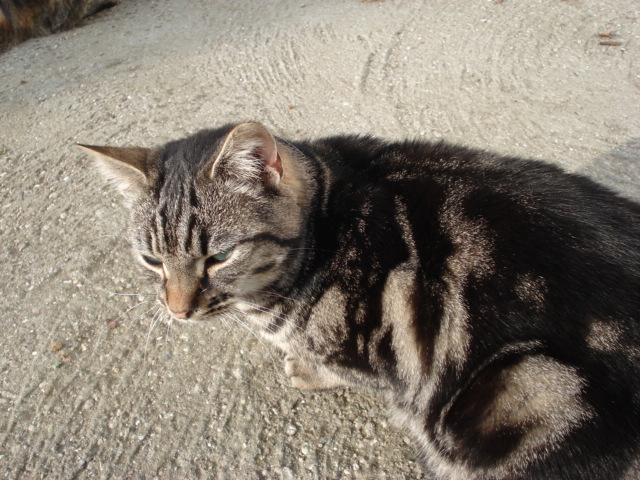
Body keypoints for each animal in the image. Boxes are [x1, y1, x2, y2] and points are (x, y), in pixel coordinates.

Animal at [80, 124, 640, 480]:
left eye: (219, 256)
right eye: (152, 260)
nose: (178, 310)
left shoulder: (379, 355)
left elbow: (343, 370)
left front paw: (305, 369)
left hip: (522, 389)